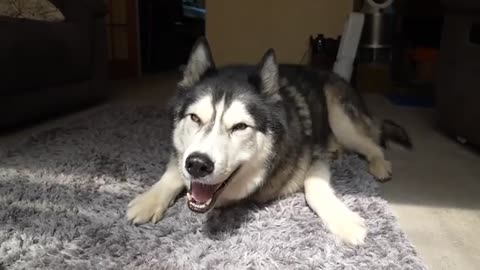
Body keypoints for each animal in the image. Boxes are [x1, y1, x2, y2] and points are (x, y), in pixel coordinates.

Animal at [125, 37, 410, 246]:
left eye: (240, 127)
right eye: (194, 118)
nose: (197, 164)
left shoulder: (313, 156)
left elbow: (314, 187)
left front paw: (343, 221)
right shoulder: (181, 154)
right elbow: (174, 169)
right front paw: (150, 198)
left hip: (341, 118)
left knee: (373, 142)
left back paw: (379, 164)